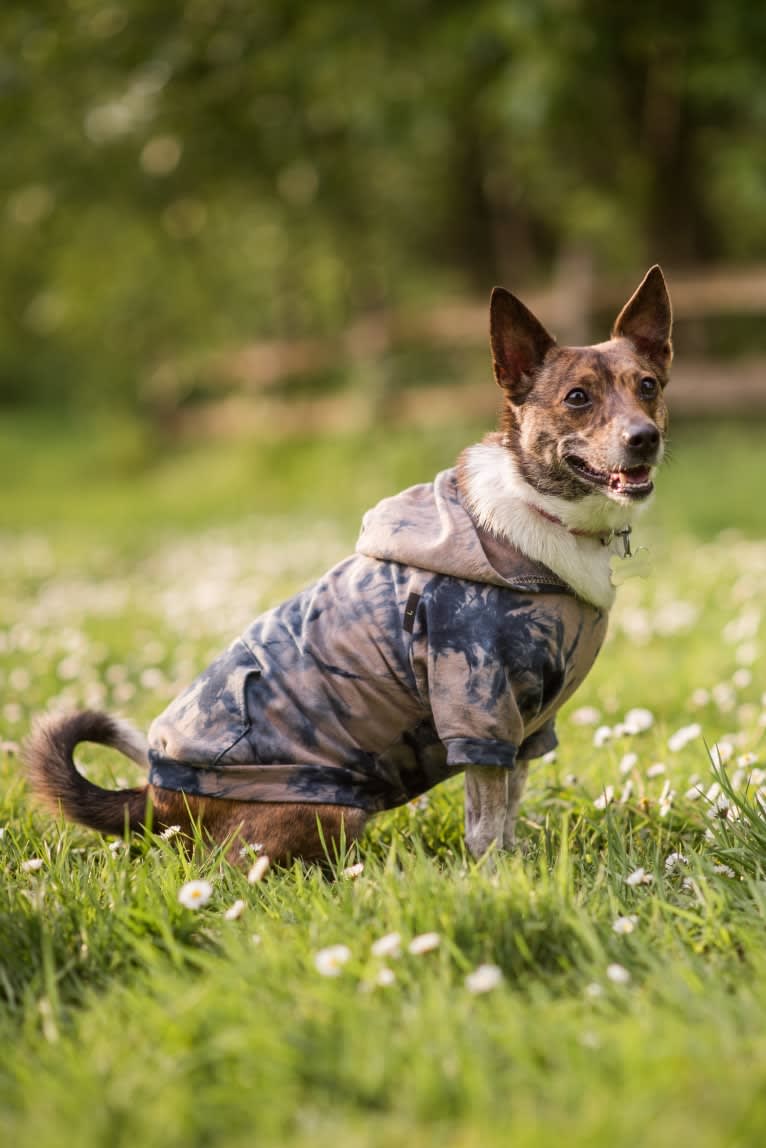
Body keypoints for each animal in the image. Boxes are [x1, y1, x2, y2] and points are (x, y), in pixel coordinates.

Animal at [23, 266, 670, 863]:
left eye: (648, 385)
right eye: (577, 398)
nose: (646, 437)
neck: (552, 517)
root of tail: (157, 800)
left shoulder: (525, 728)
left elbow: (508, 809)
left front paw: (516, 865)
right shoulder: (478, 708)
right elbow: (486, 823)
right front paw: (496, 877)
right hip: (328, 809)